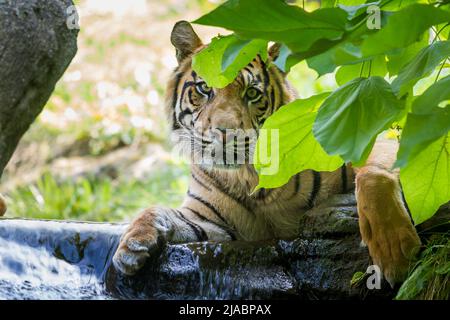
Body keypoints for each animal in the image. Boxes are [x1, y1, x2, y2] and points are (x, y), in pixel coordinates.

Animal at [110, 21, 420, 288]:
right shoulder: (210, 220)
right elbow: (158, 210)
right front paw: (130, 245)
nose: (225, 131)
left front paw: (394, 251)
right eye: (204, 88)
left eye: (252, 93)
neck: (249, 178)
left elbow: (372, 175)